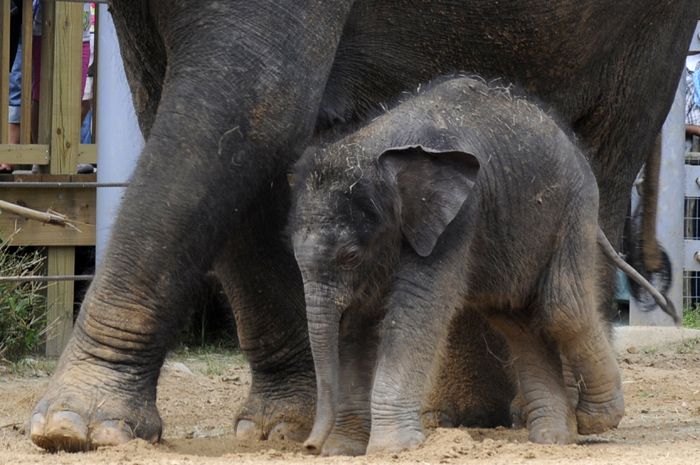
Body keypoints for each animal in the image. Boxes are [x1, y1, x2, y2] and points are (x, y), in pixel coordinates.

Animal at [290, 75, 676, 454]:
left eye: (350, 255)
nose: (308, 446)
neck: (373, 146)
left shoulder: (458, 218)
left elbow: (415, 310)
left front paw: (392, 449)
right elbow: (358, 323)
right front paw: (341, 450)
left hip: (574, 208)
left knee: (562, 310)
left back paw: (595, 421)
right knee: (519, 323)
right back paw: (553, 438)